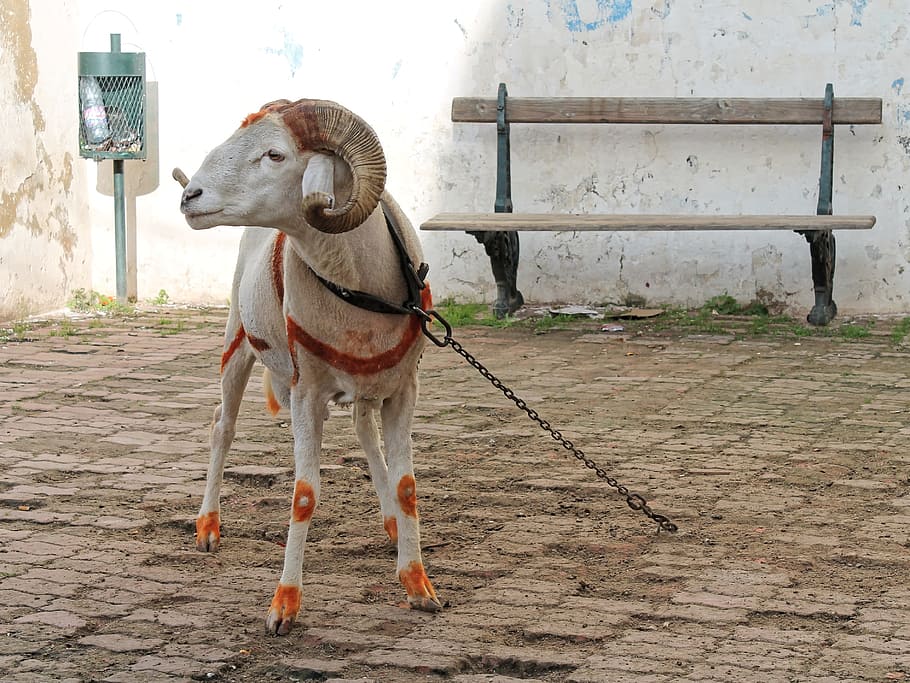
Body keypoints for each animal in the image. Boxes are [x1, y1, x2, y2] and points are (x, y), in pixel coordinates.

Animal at [174, 98, 440, 635]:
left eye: (275, 154)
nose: (190, 196)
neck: (361, 290)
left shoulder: (404, 390)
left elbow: (406, 486)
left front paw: (418, 584)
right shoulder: (306, 392)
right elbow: (303, 494)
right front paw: (284, 605)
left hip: (367, 385)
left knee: (363, 430)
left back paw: (389, 526)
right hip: (237, 344)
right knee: (222, 427)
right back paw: (208, 527)